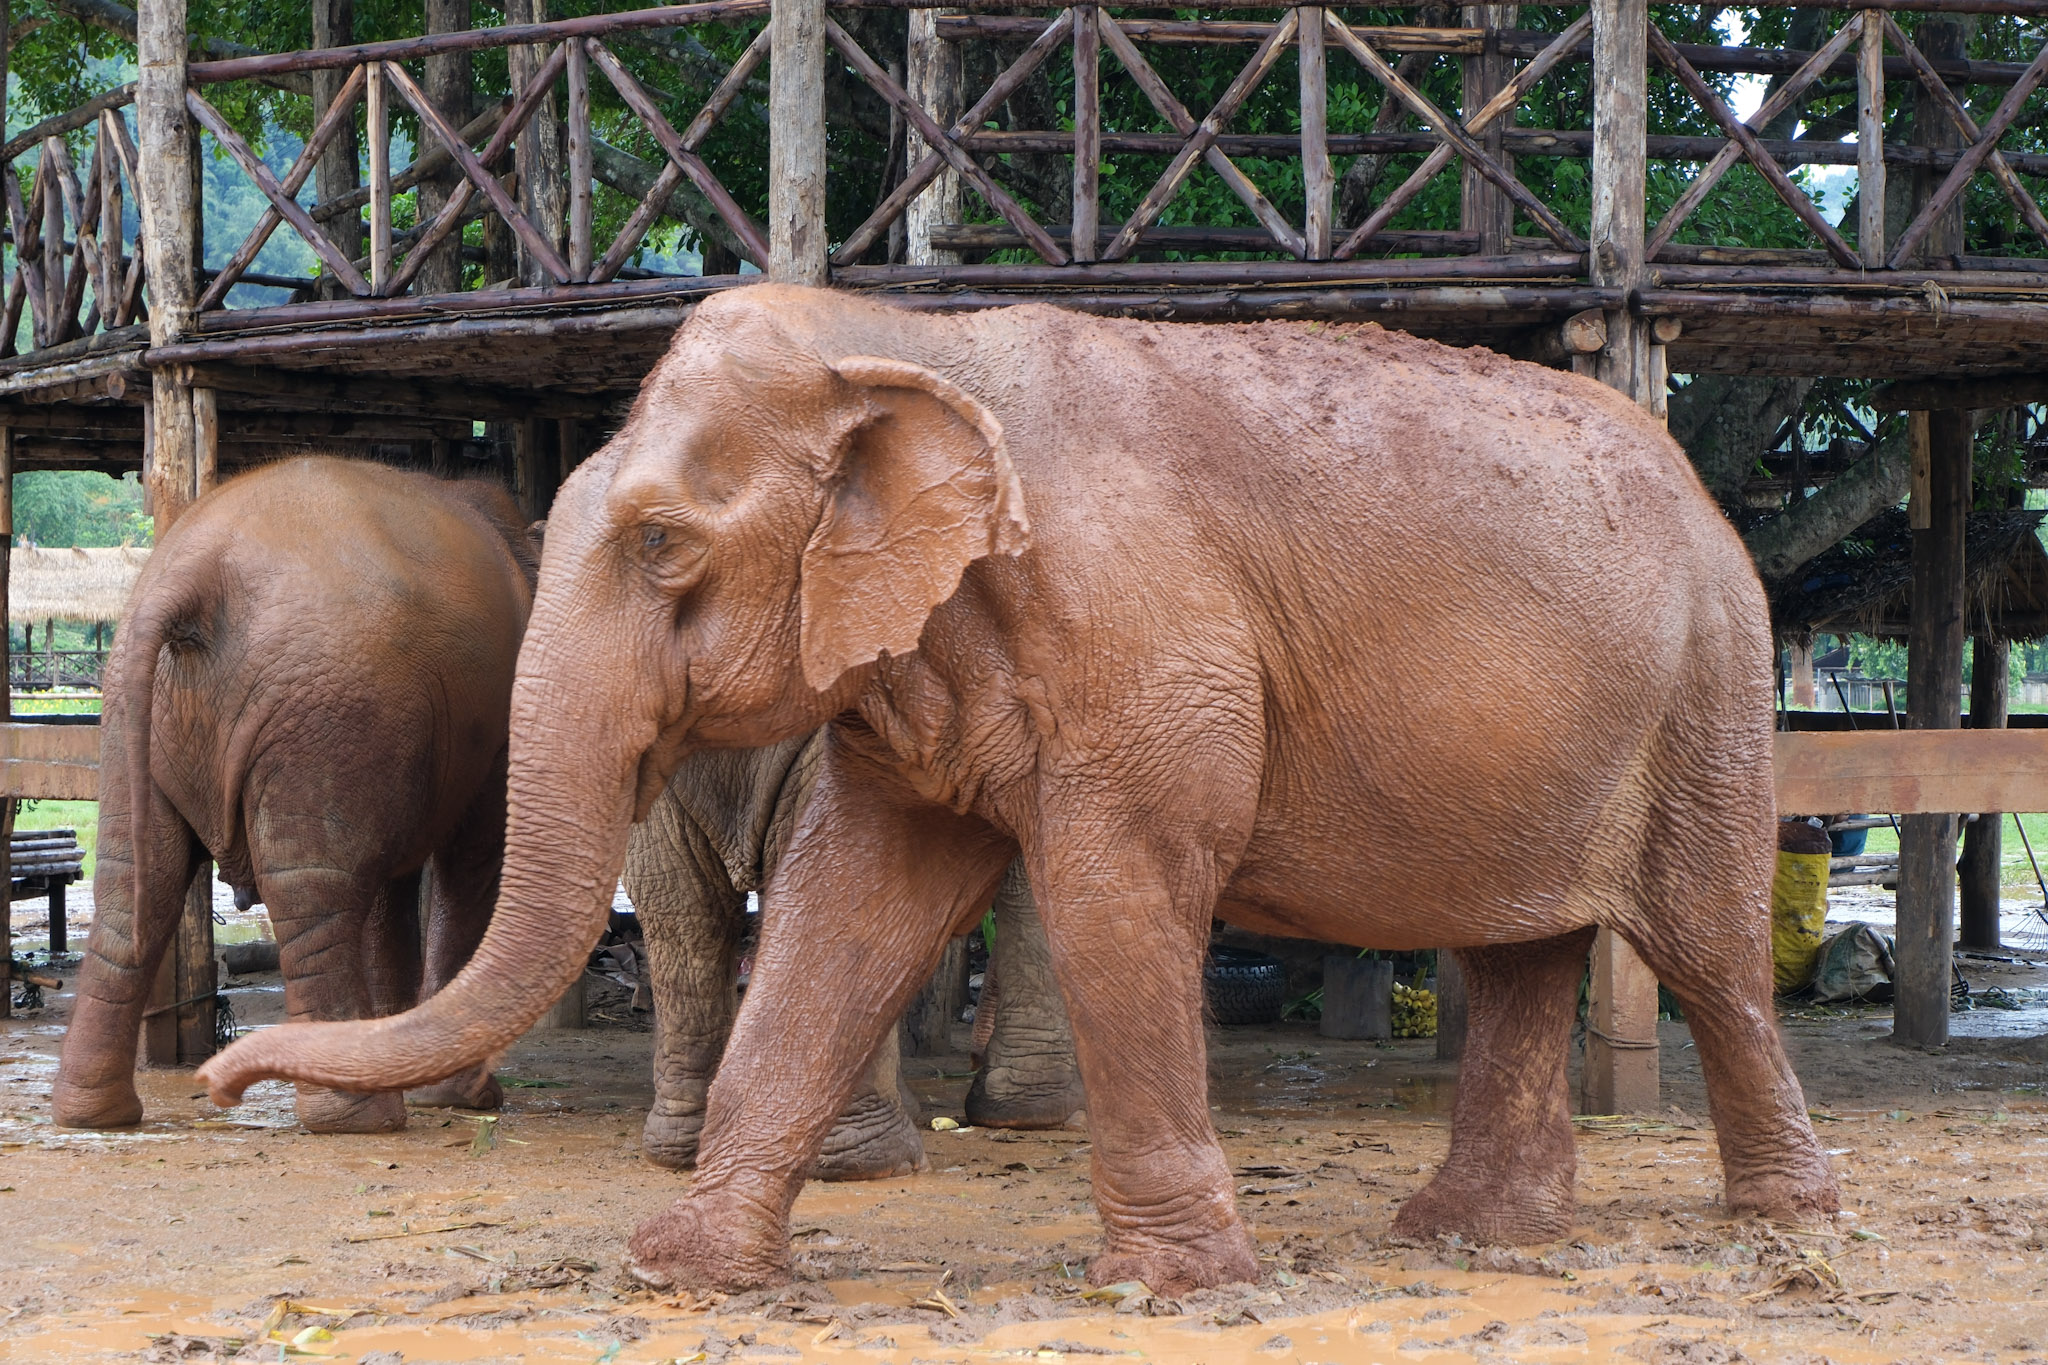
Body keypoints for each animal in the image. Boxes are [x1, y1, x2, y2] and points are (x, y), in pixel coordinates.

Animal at [55, 456, 535, 1133]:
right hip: (329, 714)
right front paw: (462, 1098)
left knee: (134, 888)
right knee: (314, 891)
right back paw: (359, 1118)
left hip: (132, 711)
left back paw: (95, 1115)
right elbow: (471, 865)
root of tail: (193, 573)